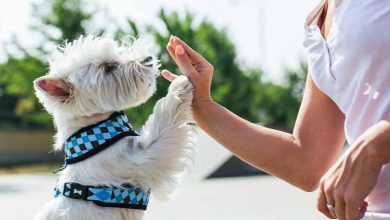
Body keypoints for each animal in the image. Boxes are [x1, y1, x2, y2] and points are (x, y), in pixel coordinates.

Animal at [33, 35, 197, 219]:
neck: (95, 132)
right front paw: (179, 85)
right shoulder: (142, 158)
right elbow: (164, 122)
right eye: (108, 68)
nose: (148, 59)